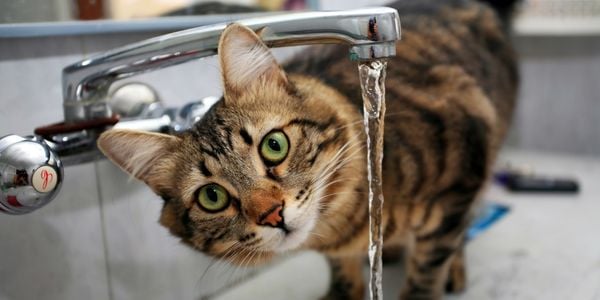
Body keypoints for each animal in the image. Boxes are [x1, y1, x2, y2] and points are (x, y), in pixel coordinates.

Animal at [96, 1, 516, 298]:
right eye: (212, 197)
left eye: (274, 146)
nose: (272, 214)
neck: (345, 227)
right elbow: (343, 271)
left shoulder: (465, 164)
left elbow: (429, 267)